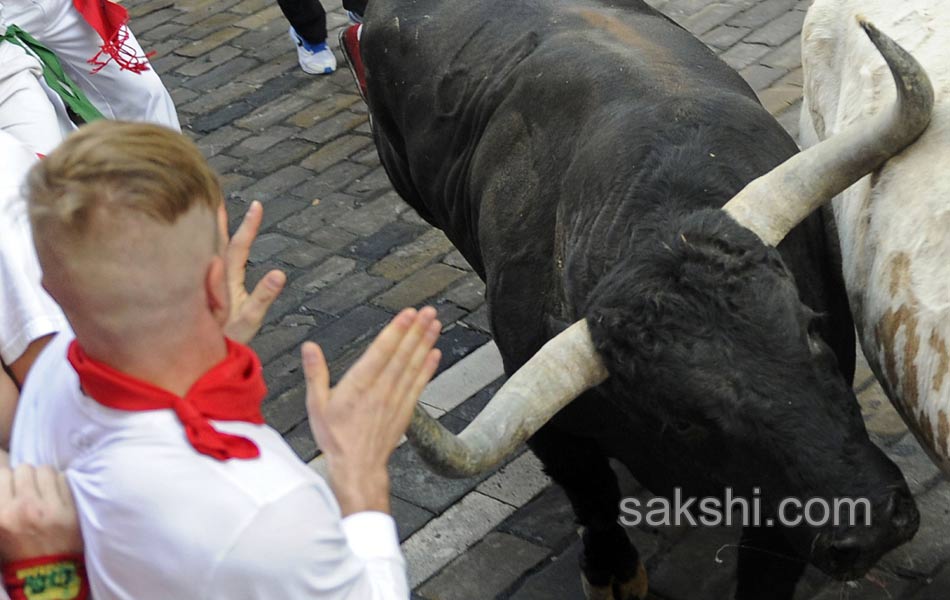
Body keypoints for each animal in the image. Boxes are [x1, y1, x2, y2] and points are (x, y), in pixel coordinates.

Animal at [358, 0, 924, 596]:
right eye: (683, 420)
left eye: (811, 331)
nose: (872, 523)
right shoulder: (558, 434)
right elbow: (594, 498)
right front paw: (613, 573)